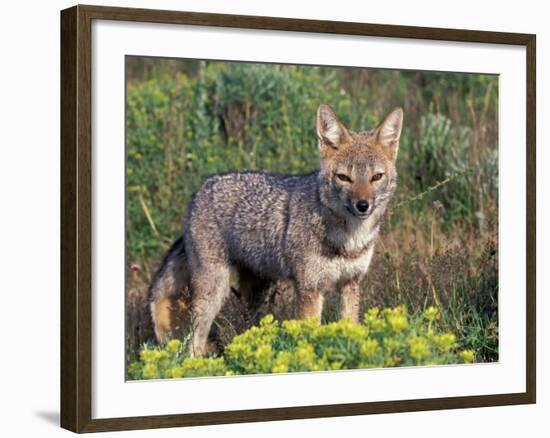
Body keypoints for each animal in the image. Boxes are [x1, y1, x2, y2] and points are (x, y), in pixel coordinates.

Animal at [149, 103, 404, 356]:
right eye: (344, 178)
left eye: (376, 177)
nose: (363, 205)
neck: (349, 240)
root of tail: (200, 190)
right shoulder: (309, 289)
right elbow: (310, 335)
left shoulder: (350, 283)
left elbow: (351, 327)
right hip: (214, 292)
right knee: (195, 342)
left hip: (257, 292)